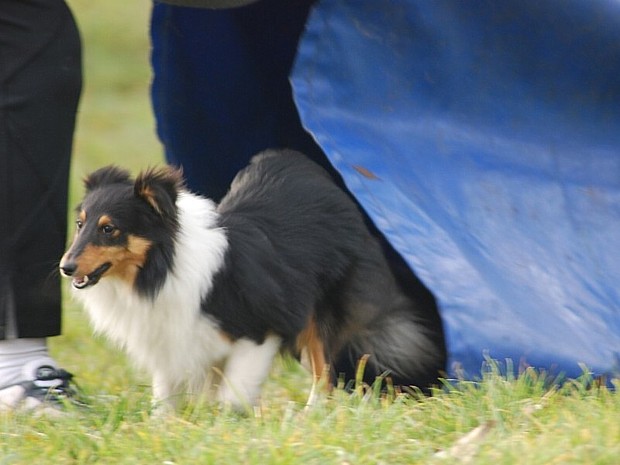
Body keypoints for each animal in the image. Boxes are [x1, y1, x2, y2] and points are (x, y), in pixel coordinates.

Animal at [59, 149, 446, 410]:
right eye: (80, 224)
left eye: (109, 229)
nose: (66, 267)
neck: (161, 266)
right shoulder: (174, 340)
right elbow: (166, 399)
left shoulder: (260, 331)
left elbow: (234, 395)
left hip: (318, 315)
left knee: (323, 374)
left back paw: (311, 416)